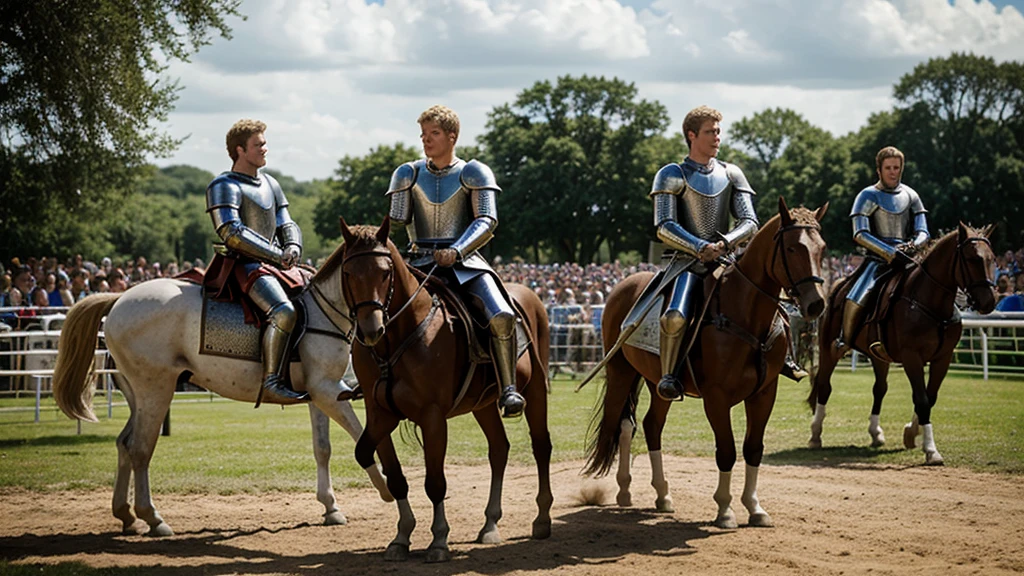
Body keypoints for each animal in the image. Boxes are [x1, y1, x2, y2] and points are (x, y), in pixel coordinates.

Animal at [55, 253, 391, 537]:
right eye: (357, 275)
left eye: (385, 275)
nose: (376, 329)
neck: (322, 311)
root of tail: (120, 298)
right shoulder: (327, 390)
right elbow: (360, 434)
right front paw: (386, 486)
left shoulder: (319, 394)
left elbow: (322, 448)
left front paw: (331, 507)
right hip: (156, 391)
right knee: (140, 449)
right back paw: (152, 517)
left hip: (138, 395)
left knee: (125, 444)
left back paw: (126, 515)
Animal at [339, 215, 552, 561]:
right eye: (347, 273)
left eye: (385, 273)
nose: (371, 330)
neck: (397, 338)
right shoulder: (379, 413)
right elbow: (387, 471)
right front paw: (402, 535)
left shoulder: (433, 417)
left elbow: (435, 482)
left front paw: (439, 540)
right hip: (482, 405)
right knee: (499, 449)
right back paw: (490, 524)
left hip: (534, 392)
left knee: (541, 446)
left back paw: (542, 518)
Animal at [585, 198, 831, 528]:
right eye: (792, 248)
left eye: (822, 248)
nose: (816, 304)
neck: (746, 315)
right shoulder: (717, 398)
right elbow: (726, 450)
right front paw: (725, 509)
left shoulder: (765, 394)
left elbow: (753, 449)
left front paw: (754, 507)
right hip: (621, 372)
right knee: (621, 423)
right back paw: (624, 490)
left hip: (657, 382)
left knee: (649, 425)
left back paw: (662, 494)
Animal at [802, 222, 995, 463]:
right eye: (972, 258)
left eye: (991, 258)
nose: (989, 302)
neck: (931, 303)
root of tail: (836, 287)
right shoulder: (912, 357)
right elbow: (922, 399)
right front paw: (931, 449)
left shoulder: (943, 358)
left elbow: (929, 398)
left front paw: (911, 433)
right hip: (829, 349)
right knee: (824, 386)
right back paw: (815, 435)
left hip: (878, 356)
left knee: (879, 389)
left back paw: (875, 433)